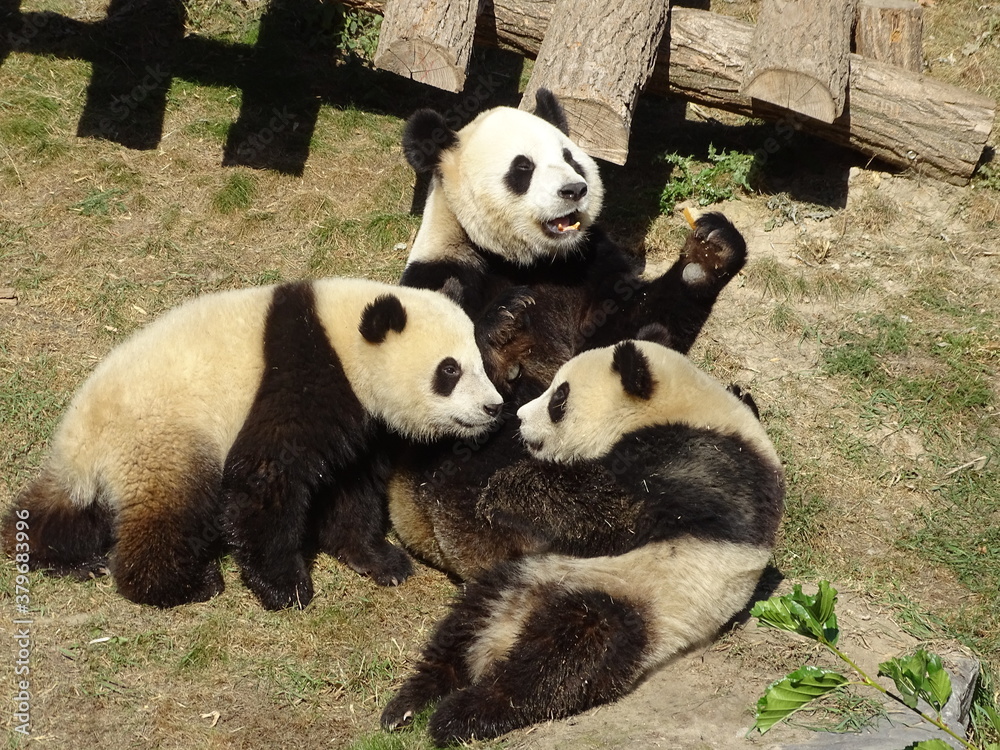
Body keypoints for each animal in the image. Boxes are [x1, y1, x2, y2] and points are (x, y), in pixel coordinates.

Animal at [0, 278, 502, 610]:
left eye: (480, 362)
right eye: (449, 370)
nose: (493, 407)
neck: (344, 341)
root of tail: (84, 444)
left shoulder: (358, 419)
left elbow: (351, 486)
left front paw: (380, 560)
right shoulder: (299, 376)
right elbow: (265, 478)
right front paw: (286, 588)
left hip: (94, 469)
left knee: (65, 511)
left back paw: (50, 554)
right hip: (164, 436)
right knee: (175, 507)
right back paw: (182, 584)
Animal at [381, 340, 785, 745]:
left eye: (559, 397)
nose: (521, 418)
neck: (693, 408)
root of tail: (510, 628)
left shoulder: (698, 464)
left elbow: (612, 509)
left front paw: (500, 491)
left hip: (629, 605)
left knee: (561, 663)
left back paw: (461, 714)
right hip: (519, 575)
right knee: (463, 627)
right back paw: (409, 704)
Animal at [389, 90, 750, 577]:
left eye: (569, 157)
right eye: (522, 168)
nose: (574, 190)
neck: (531, 262)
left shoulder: (589, 267)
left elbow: (621, 338)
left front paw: (709, 253)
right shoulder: (440, 276)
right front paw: (503, 331)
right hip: (467, 500)